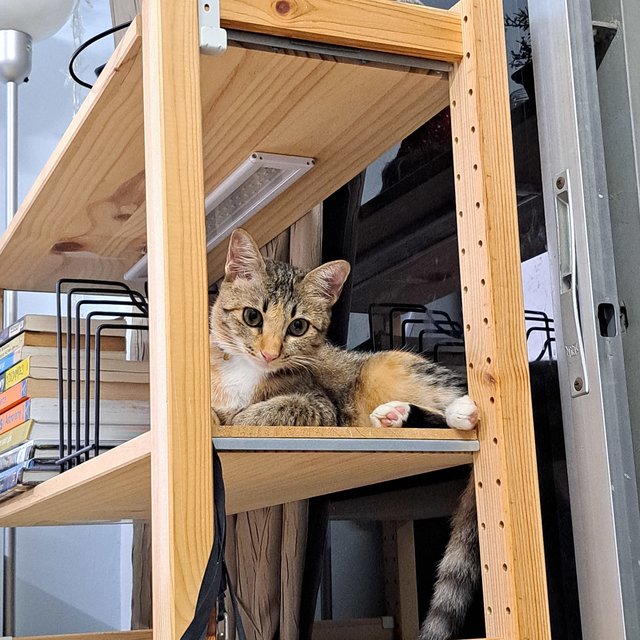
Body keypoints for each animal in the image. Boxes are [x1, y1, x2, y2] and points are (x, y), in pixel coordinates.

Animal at [210, 230, 480, 640]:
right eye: (252, 316)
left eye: (298, 326)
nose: (269, 354)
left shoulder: (320, 406)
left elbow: (271, 410)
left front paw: (236, 419)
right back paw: (395, 416)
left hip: (392, 365)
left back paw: (454, 410)